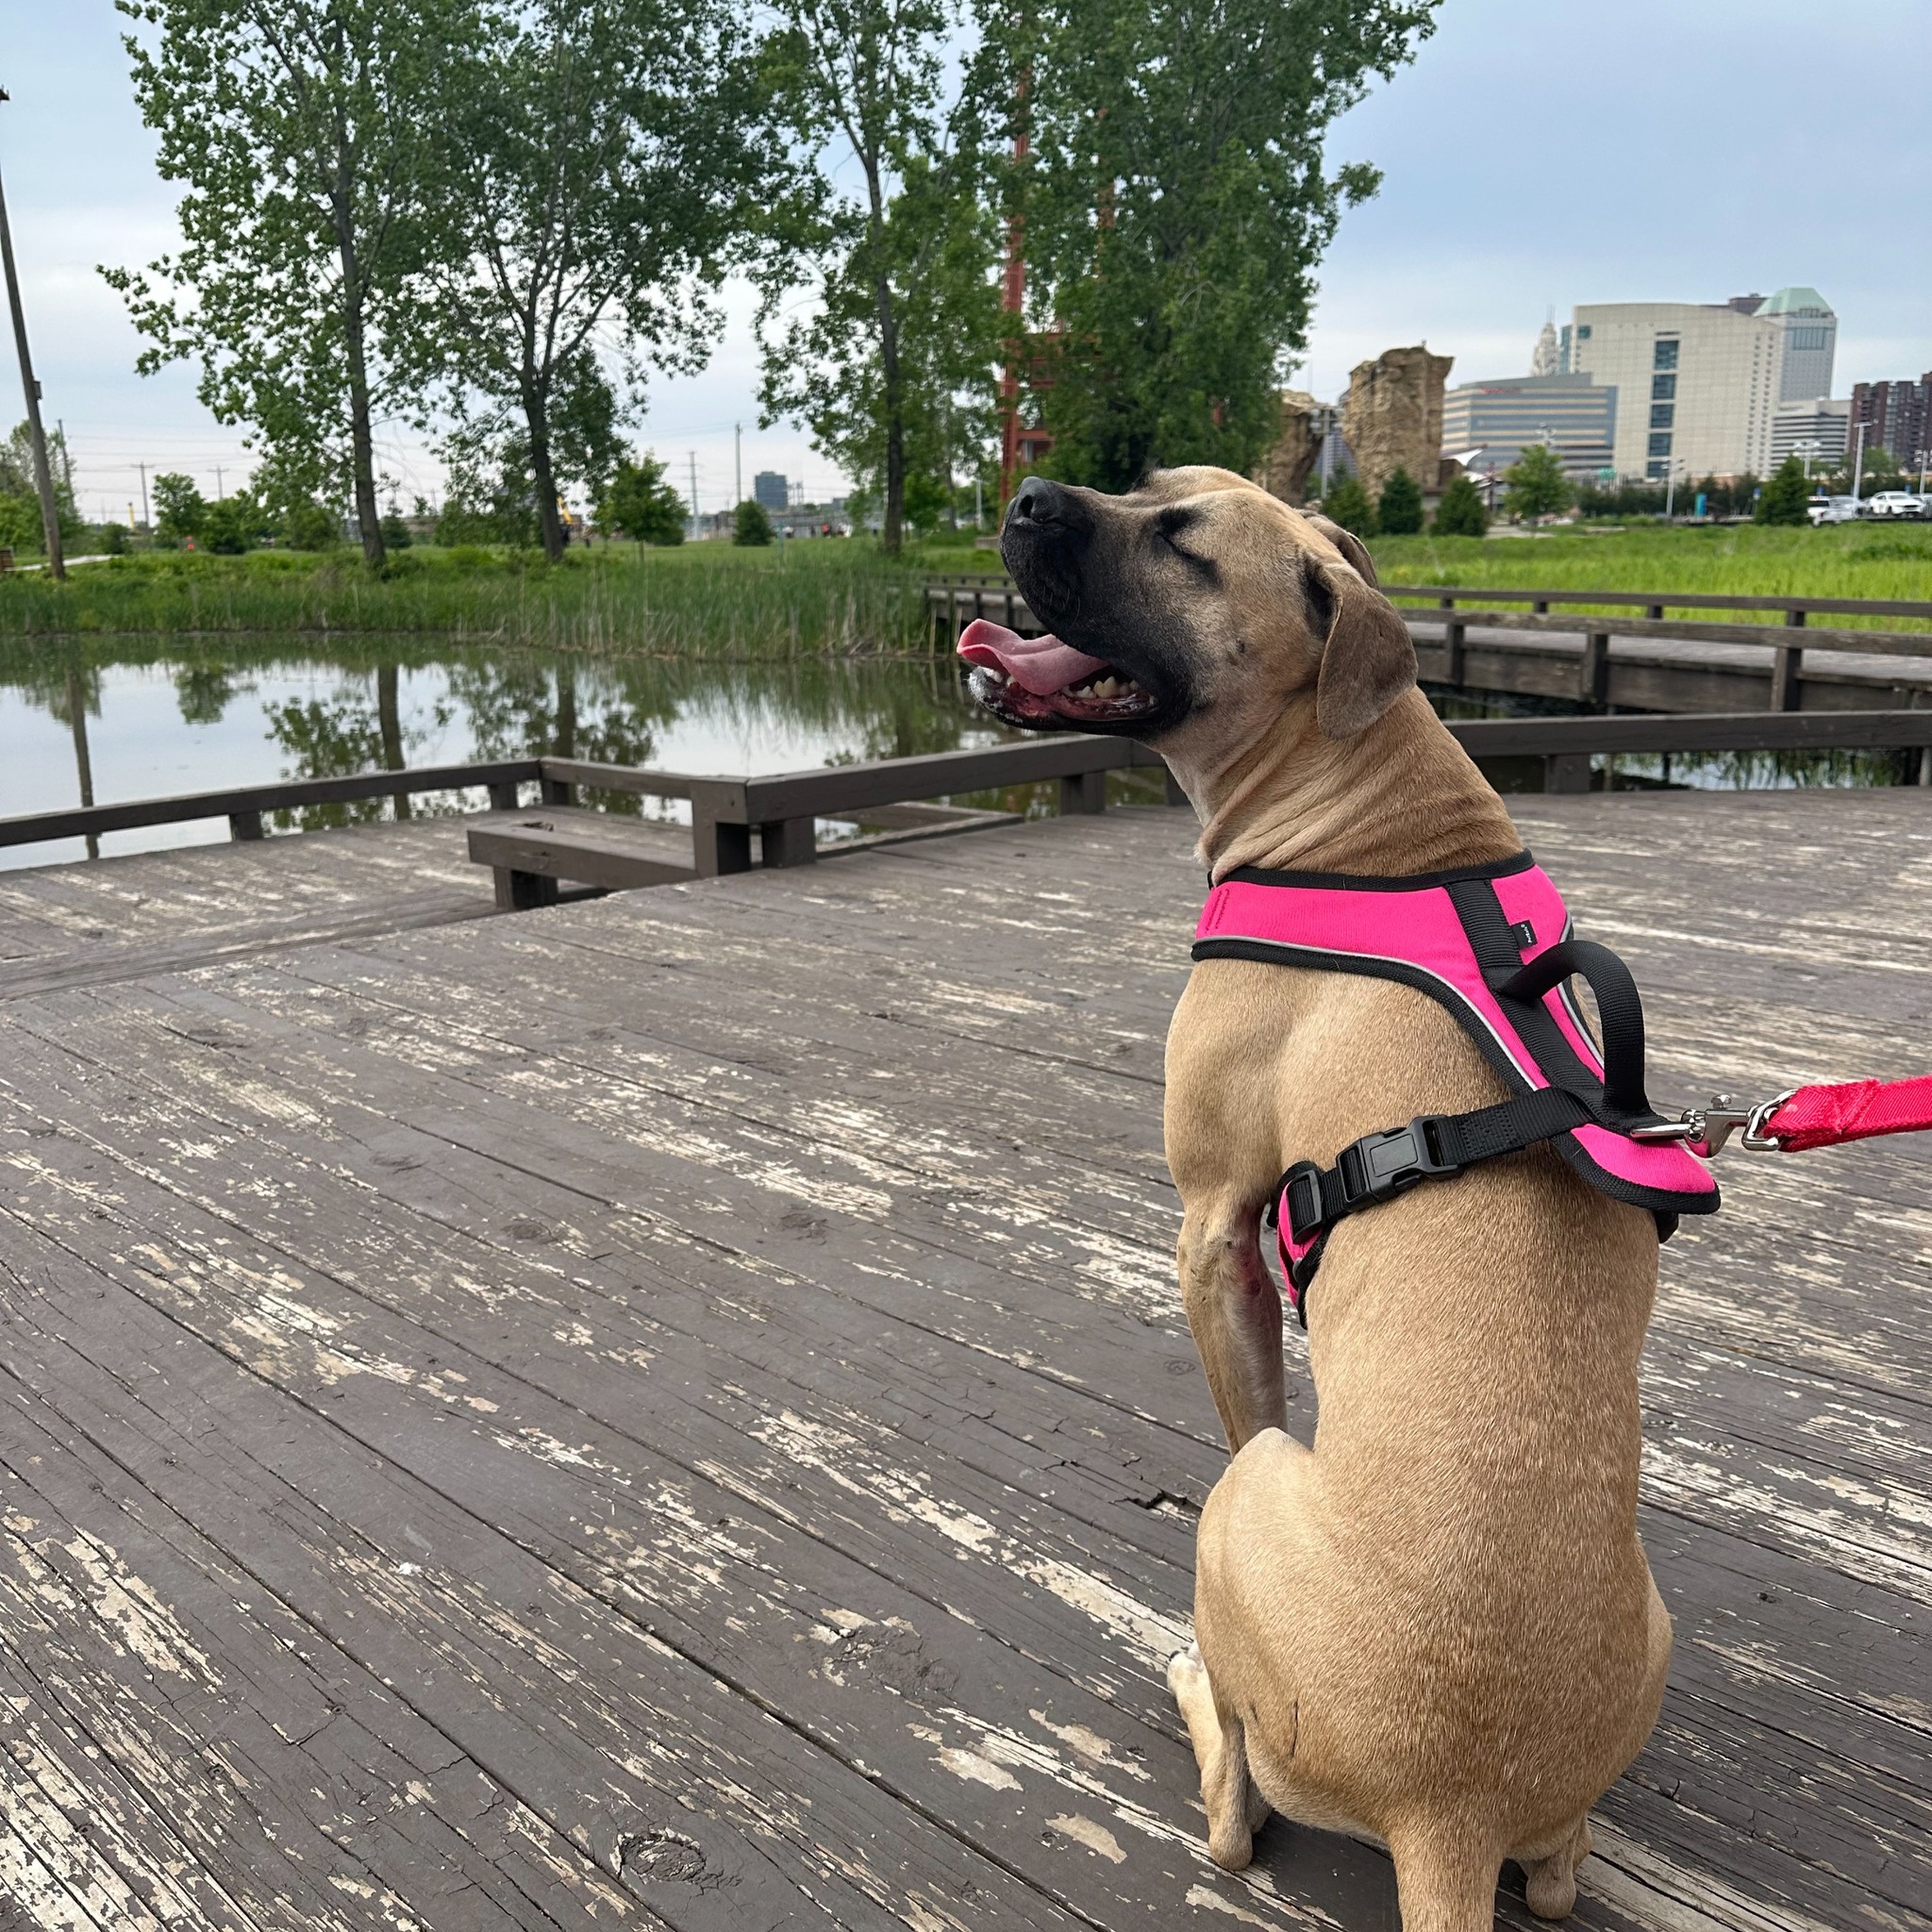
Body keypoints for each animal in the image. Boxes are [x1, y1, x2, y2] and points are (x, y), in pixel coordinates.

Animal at [966, 471, 1676, 1932]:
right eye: (1150, 491)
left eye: (1182, 542)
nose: (1030, 495)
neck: (1368, 806)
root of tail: (1450, 1815)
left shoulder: (1211, 1230)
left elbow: (1245, 1388)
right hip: (1645, 1644)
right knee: (1559, 1875)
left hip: (1246, 1508)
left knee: (1236, 1815)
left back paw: (1194, 1682)